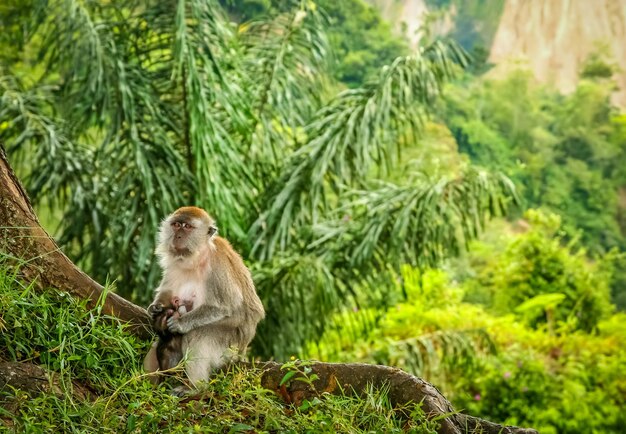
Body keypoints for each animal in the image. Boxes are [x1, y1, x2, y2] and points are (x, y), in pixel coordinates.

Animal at [143, 206, 264, 386]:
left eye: (187, 227)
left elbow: (226, 305)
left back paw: (195, 387)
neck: (197, 257)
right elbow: (168, 291)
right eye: (176, 225)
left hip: (229, 349)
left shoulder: (217, 265)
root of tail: (242, 352)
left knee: (198, 335)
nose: (178, 236)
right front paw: (156, 307)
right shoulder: (175, 264)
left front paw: (180, 322)